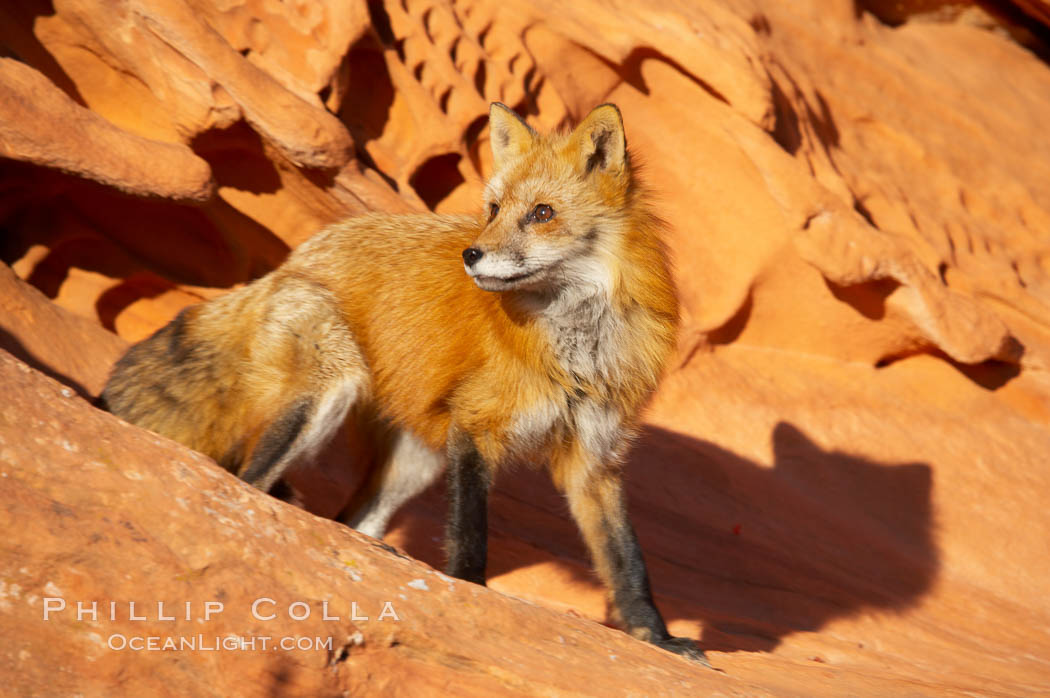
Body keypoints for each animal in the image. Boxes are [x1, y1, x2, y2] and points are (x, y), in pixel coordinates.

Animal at [100, 103, 705, 663]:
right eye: (493, 209)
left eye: (542, 213)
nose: (471, 254)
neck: (578, 347)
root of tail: (295, 257)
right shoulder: (476, 425)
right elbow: (469, 530)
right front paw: (469, 590)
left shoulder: (593, 459)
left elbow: (627, 562)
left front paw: (658, 638)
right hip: (332, 391)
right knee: (250, 483)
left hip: (414, 463)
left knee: (349, 519)